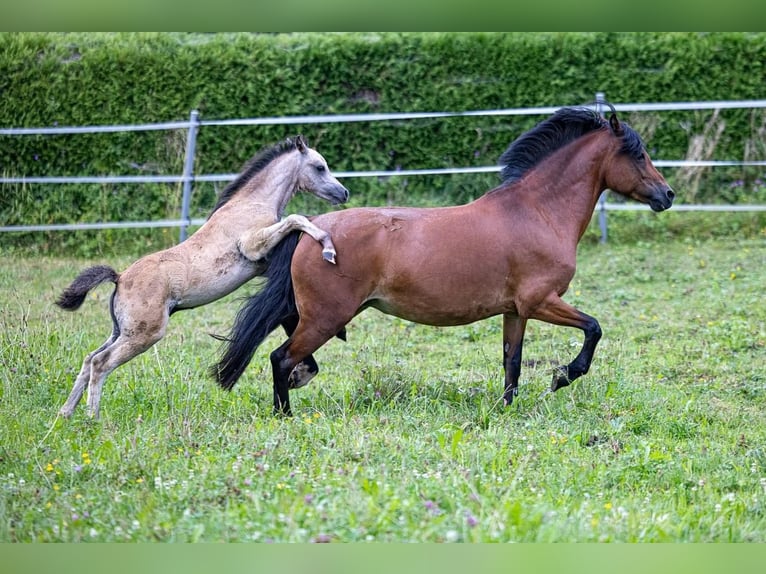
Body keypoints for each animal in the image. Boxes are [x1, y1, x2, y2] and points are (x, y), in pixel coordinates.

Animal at [55, 137, 350, 420]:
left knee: (88, 360)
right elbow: (295, 218)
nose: (343, 192)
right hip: (143, 334)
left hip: (121, 331)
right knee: (100, 363)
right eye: (319, 167)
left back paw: (66, 414)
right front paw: (327, 246)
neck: (250, 205)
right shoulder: (253, 246)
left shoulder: (263, 264)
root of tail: (119, 278)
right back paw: (92, 418)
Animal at [213, 107, 676, 414]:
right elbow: (594, 328)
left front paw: (507, 409)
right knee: (280, 358)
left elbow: (512, 361)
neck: (537, 212)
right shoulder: (541, 300)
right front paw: (562, 376)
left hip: (315, 314)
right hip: (326, 317)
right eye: (637, 154)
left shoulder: (516, 310)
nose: (667, 195)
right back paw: (285, 414)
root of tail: (313, 229)